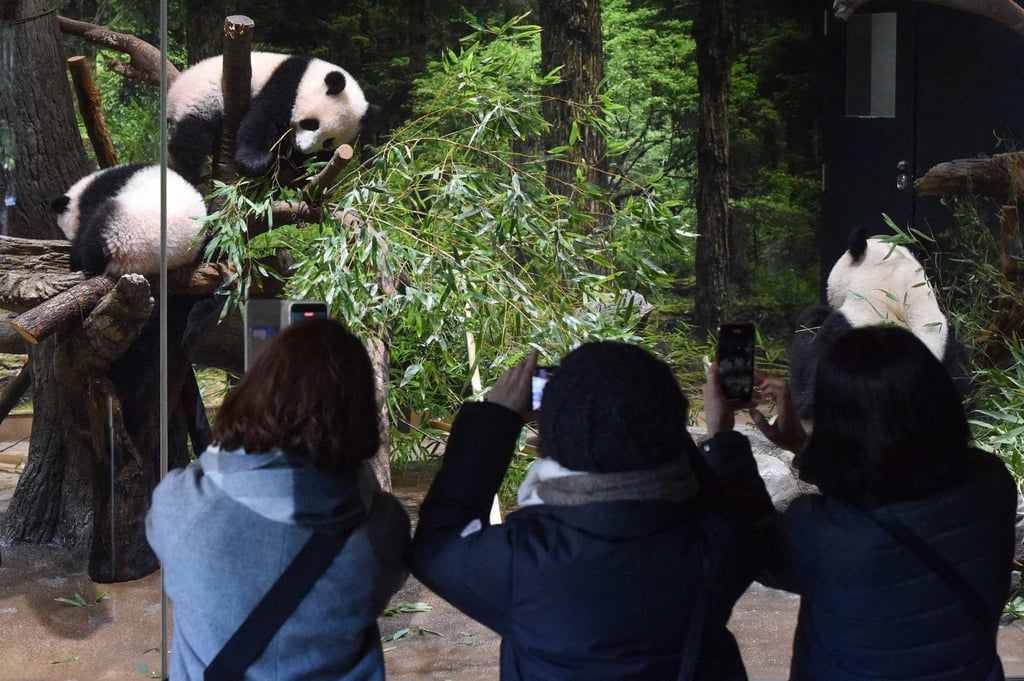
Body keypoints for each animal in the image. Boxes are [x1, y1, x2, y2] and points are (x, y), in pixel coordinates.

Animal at [167, 52, 371, 185]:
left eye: (328, 141)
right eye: (312, 124)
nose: (302, 148)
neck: (310, 76)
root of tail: (174, 89)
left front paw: (304, 171)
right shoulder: (287, 83)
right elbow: (263, 118)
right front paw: (255, 162)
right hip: (202, 96)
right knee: (192, 136)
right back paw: (188, 174)